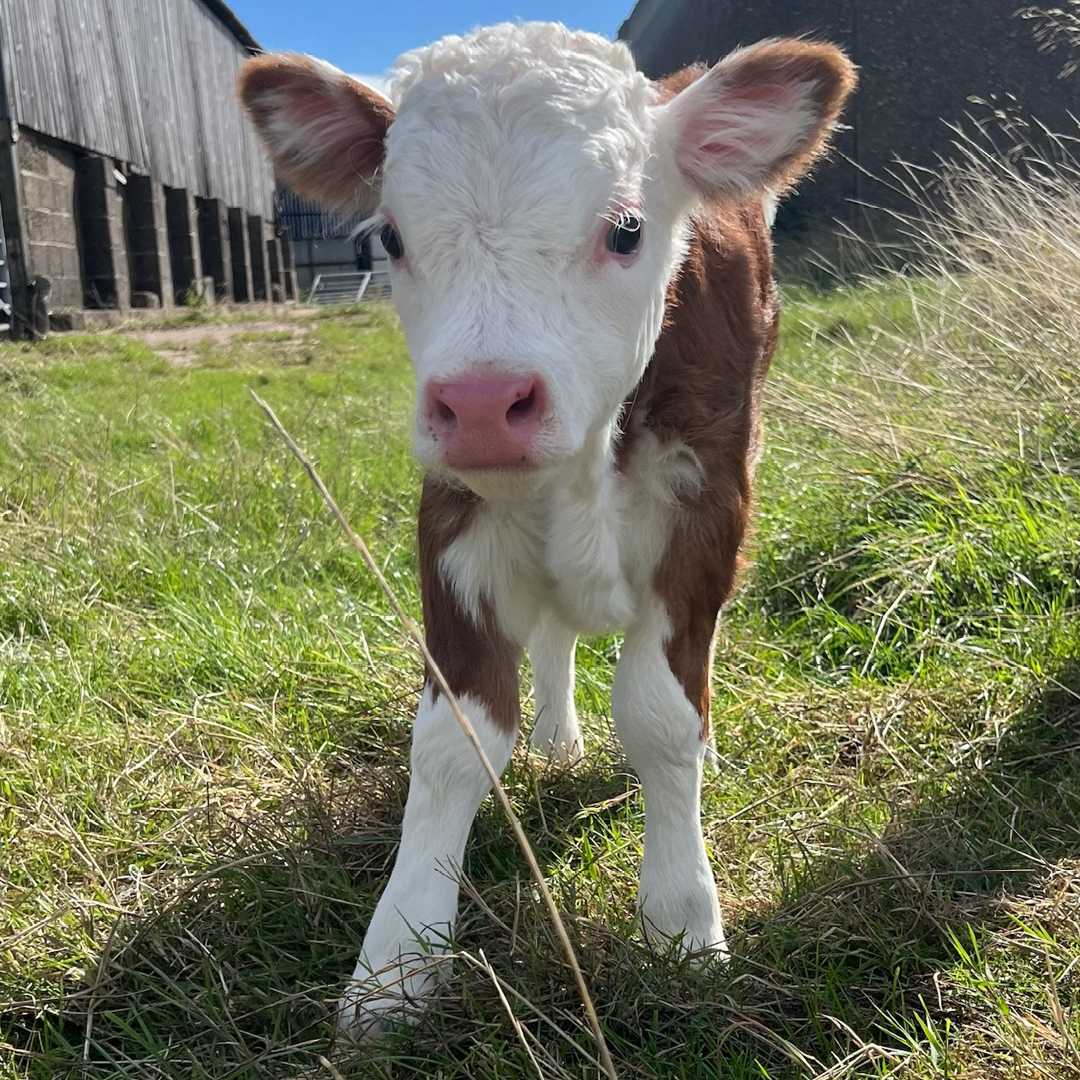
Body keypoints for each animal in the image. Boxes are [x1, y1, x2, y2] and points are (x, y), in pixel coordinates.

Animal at [239, 22, 856, 1037]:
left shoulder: (706, 515)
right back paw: (558, 735)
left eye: (627, 229)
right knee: (559, 634)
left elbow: (658, 716)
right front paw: (396, 962)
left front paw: (681, 919)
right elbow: (454, 744)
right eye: (392, 236)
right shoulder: (452, 523)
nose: (484, 404)